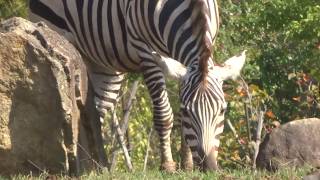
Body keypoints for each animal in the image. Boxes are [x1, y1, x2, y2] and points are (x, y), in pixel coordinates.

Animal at [29, 0, 245, 172]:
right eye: (187, 111)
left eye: (222, 110)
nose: (209, 168)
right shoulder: (147, 52)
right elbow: (164, 115)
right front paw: (168, 165)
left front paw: (187, 165)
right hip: (55, 33)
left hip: (105, 67)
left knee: (96, 111)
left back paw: (97, 164)